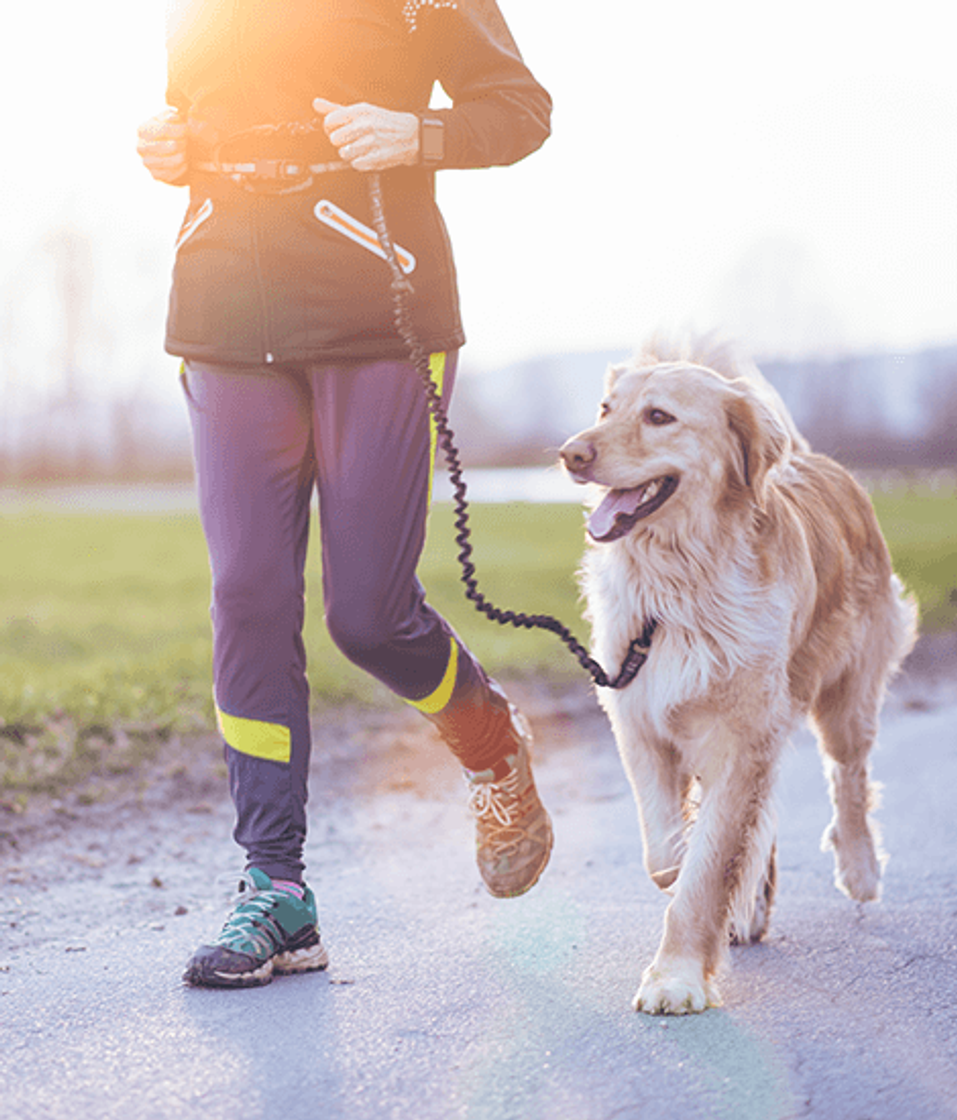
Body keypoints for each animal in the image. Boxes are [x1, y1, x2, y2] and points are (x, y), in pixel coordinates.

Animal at [562, 331, 923, 1016]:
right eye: (604, 408)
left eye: (659, 416)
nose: (571, 454)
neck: (680, 581)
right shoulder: (637, 713)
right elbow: (666, 849)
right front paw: (695, 869)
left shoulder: (740, 732)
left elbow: (707, 868)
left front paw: (676, 975)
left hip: (848, 694)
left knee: (850, 777)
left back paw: (860, 869)